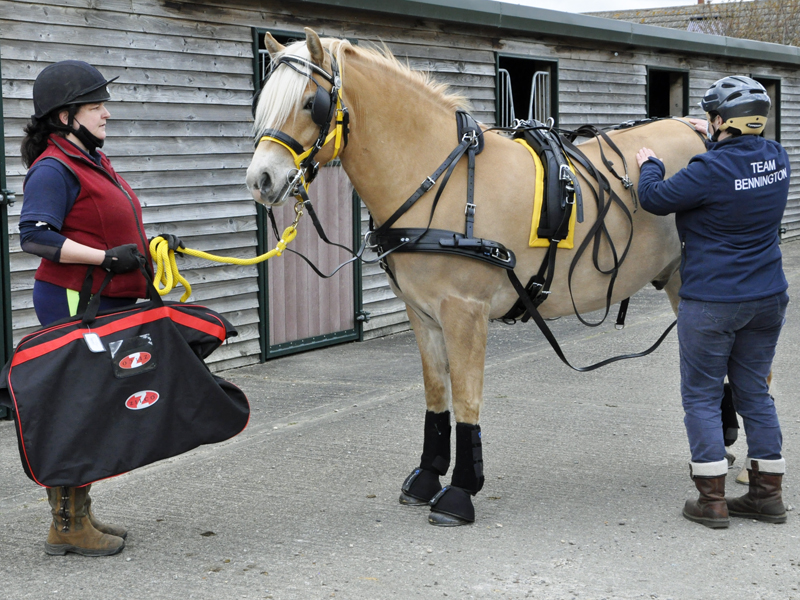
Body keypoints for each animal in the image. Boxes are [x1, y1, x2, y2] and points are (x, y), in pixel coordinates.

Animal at [245, 29, 708, 524]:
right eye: (263, 102)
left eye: (310, 103)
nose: (261, 179)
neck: (442, 183)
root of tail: (697, 132)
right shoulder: (423, 314)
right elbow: (437, 394)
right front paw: (427, 477)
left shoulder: (464, 311)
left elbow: (467, 396)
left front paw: (460, 492)